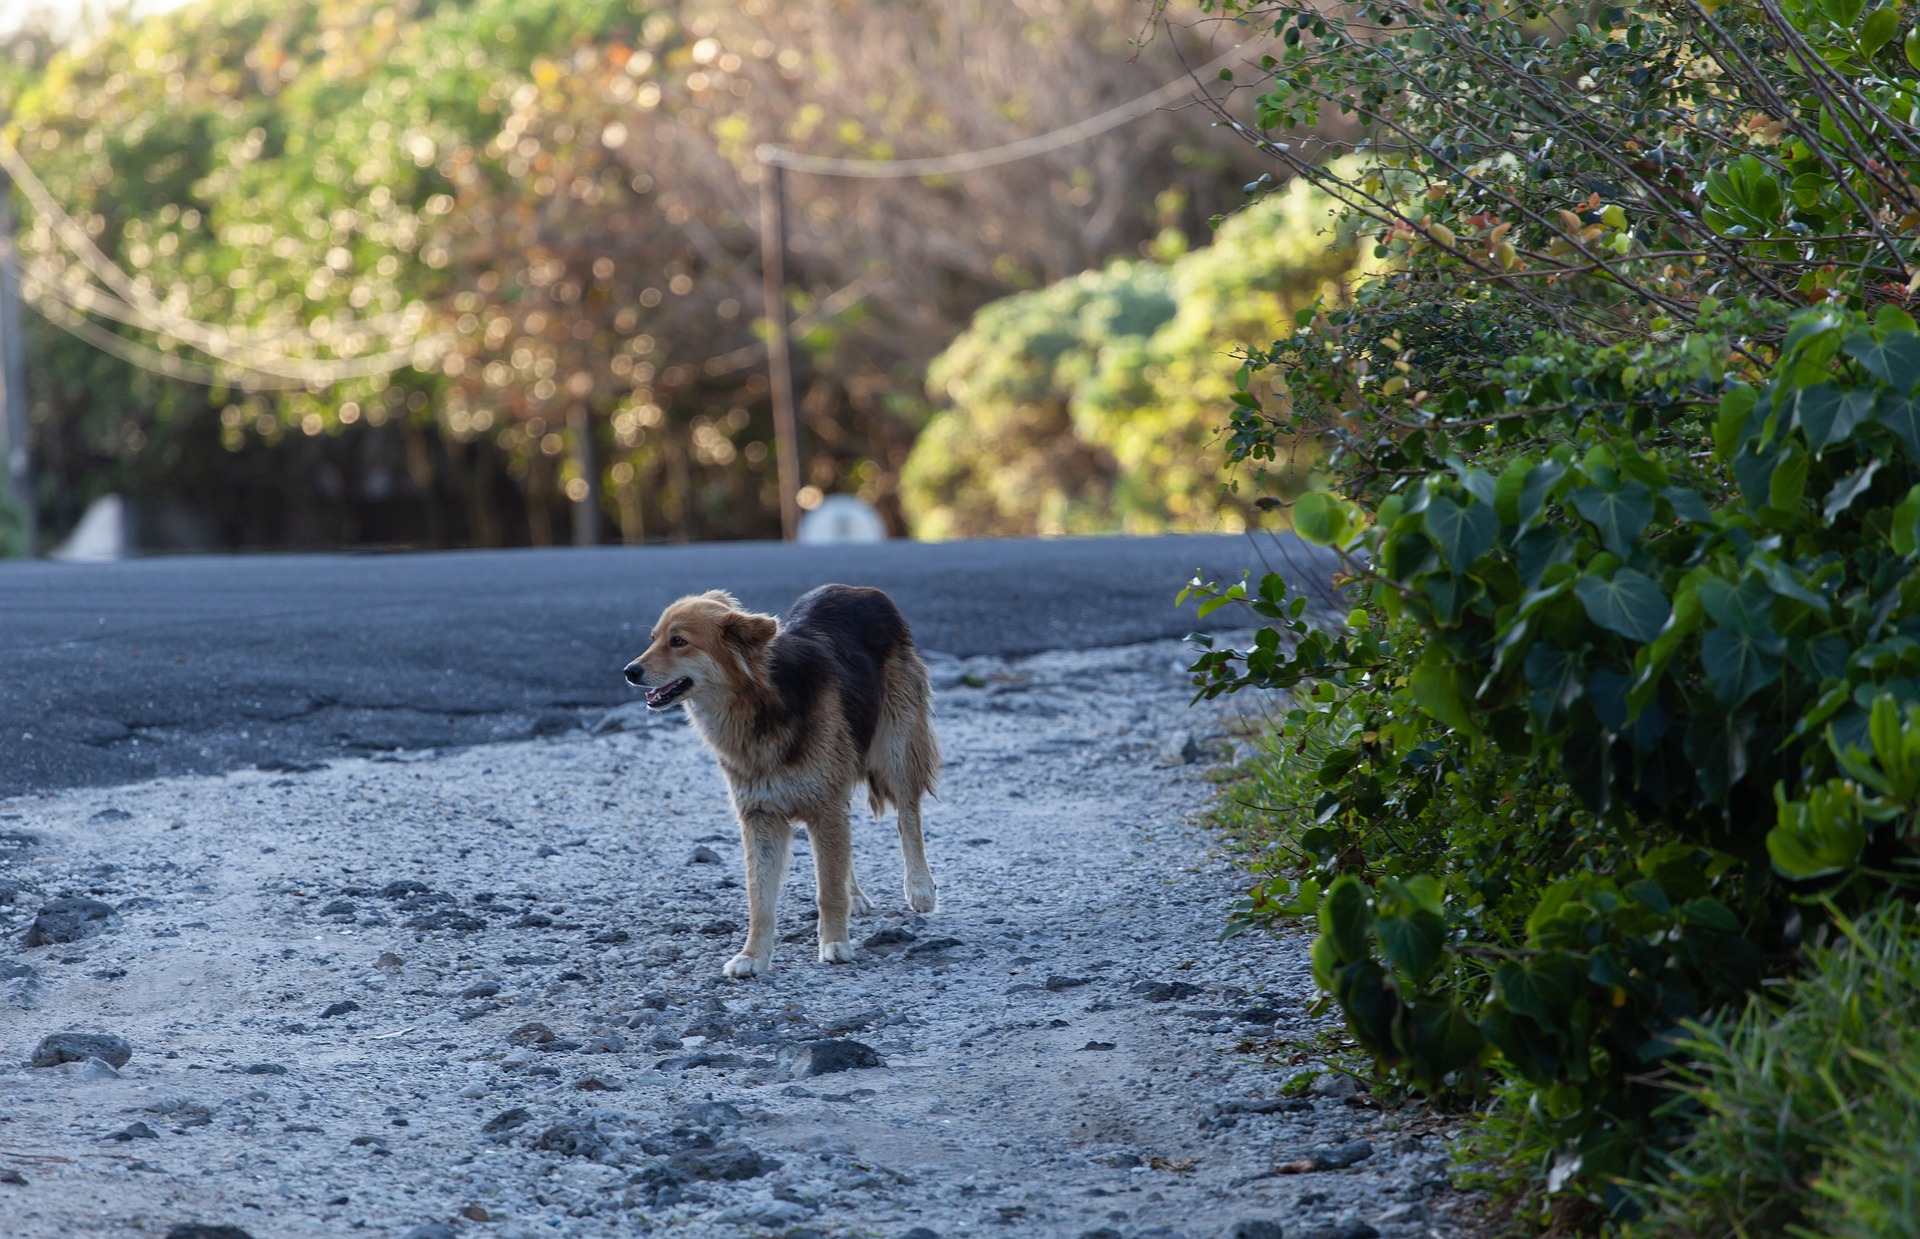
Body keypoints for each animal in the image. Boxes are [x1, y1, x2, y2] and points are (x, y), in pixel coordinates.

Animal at [622, 583, 936, 975]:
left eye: (678, 641)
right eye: (653, 639)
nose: (629, 671)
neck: (758, 703)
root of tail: (858, 589)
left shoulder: (823, 806)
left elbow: (827, 888)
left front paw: (835, 942)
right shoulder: (761, 815)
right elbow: (760, 898)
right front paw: (752, 956)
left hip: (895, 748)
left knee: (908, 817)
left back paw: (920, 888)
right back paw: (856, 895)